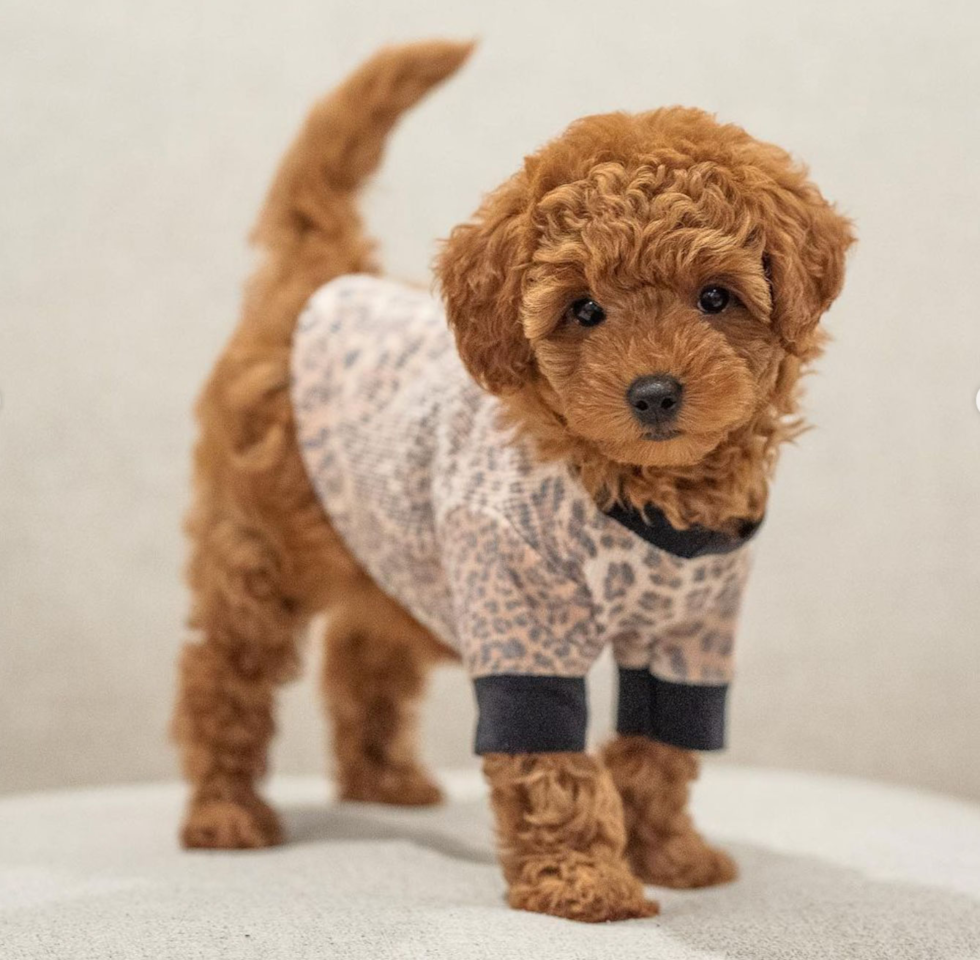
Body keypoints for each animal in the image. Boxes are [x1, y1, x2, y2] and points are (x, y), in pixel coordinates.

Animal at [172, 39, 852, 924]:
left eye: (716, 297)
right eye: (585, 311)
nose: (654, 392)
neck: (639, 490)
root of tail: (325, 276)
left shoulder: (692, 631)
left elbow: (662, 741)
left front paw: (669, 852)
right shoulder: (520, 610)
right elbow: (547, 756)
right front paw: (583, 879)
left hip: (390, 544)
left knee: (364, 650)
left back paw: (382, 780)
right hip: (257, 546)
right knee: (225, 673)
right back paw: (225, 813)